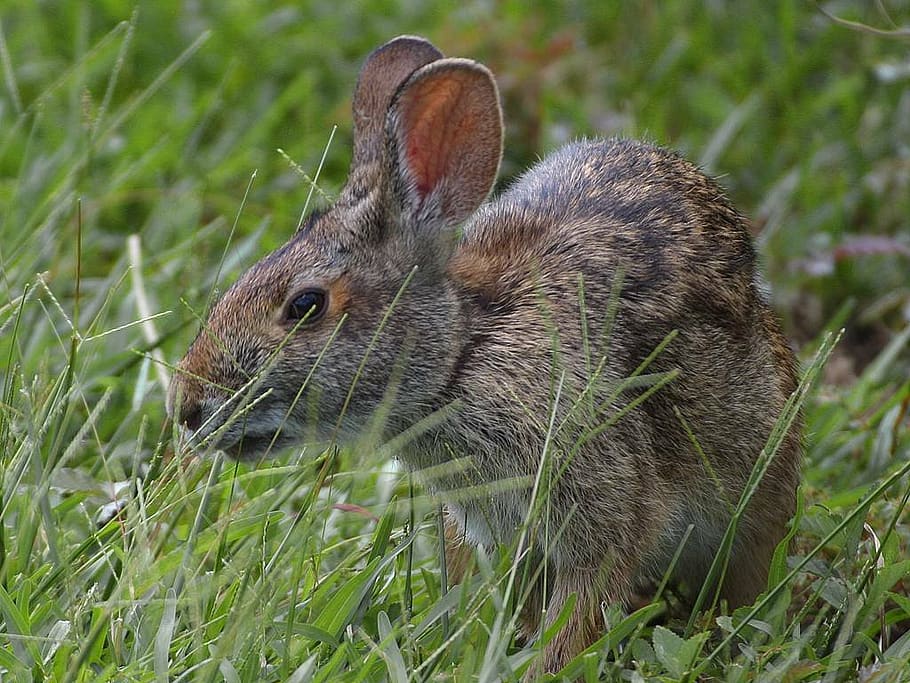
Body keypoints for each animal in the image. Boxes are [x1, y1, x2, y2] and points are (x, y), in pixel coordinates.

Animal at [168, 35, 802, 678]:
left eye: (304, 305)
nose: (186, 407)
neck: (463, 355)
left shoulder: (603, 502)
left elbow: (582, 605)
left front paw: (547, 667)